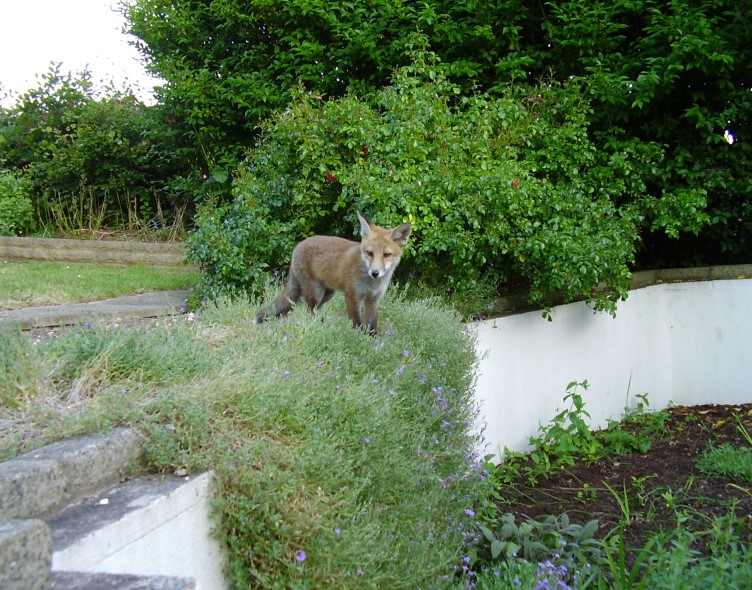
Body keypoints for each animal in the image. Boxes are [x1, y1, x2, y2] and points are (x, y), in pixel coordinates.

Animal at [258, 213, 412, 336]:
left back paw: (322, 325)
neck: (371, 283)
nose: (375, 273)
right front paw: (358, 339)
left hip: (327, 294)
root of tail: (298, 245)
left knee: (315, 310)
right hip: (315, 292)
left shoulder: (373, 299)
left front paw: (372, 343)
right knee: (310, 311)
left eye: (387, 255)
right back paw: (317, 326)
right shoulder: (351, 296)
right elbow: (357, 323)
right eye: (369, 253)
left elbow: (372, 325)